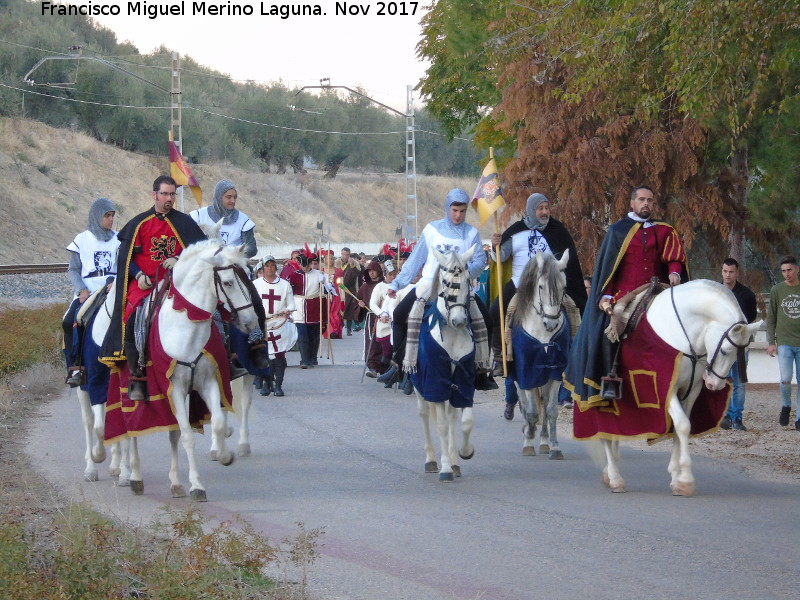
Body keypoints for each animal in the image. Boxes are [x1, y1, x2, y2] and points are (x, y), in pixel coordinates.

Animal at [74, 284, 130, 486]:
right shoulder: (95, 384)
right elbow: (99, 427)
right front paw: (97, 456)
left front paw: (125, 474)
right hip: (82, 390)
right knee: (89, 421)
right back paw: (90, 467)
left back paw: (116, 466)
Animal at [410, 245, 478, 482]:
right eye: (446, 282)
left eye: (468, 280)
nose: (459, 321)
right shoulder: (435, 382)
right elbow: (440, 425)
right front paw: (445, 469)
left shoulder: (463, 381)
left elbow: (465, 422)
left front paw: (464, 453)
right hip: (419, 386)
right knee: (424, 415)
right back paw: (431, 460)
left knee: (451, 418)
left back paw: (455, 462)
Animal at [510, 248, 572, 460]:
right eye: (541, 286)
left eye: (564, 287)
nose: (551, 323)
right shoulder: (527, 373)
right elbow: (530, 411)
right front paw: (528, 443)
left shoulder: (555, 373)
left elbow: (550, 410)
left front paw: (554, 447)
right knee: (524, 404)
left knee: (544, 404)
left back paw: (544, 441)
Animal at [592, 282, 764, 496]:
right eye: (725, 351)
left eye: (743, 352)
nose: (714, 384)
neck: (682, 333)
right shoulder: (666, 389)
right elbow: (682, 425)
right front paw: (686, 479)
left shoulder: (691, 390)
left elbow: (679, 428)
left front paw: (677, 478)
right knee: (605, 429)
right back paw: (615, 477)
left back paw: (609, 473)